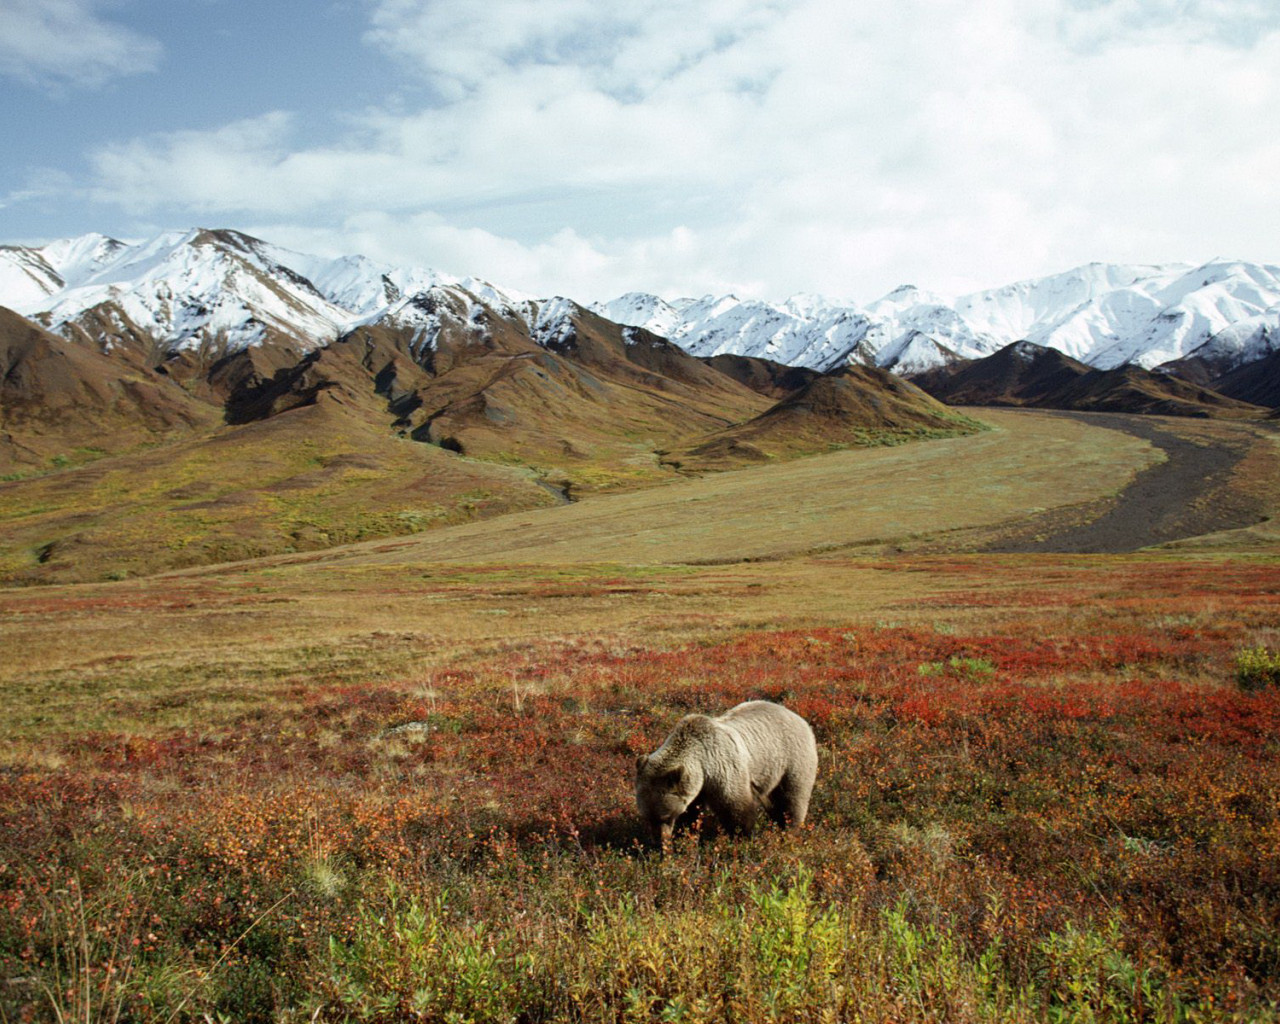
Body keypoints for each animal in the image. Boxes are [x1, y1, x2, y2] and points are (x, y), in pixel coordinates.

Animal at [632, 701, 819, 844]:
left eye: (666, 816)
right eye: (647, 816)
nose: (659, 841)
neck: (703, 765)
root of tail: (800, 718)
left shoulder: (723, 768)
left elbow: (736, 808)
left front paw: (742, 837)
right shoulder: (696, 787)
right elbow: (692, 812)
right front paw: (685, 835)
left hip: (792, 760)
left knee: (792, 798)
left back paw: (789, 830)